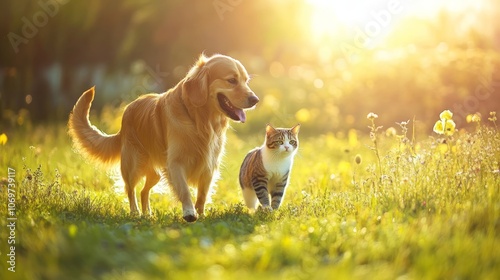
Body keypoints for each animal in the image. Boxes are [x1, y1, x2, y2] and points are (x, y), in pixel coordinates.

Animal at [67, 53, 258, 222]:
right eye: (231, 80)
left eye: (246, 81)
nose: (255, 99)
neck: (199, 120)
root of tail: (127, 110)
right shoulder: (175, 163)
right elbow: (185, 190)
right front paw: (189, 213)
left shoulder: (209, 166)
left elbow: (202, 194)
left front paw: (201, 214)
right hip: (134, 164)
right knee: (130, 189)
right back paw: (135, 213)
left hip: (156, 174)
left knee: (143, 191)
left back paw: (147, 214)